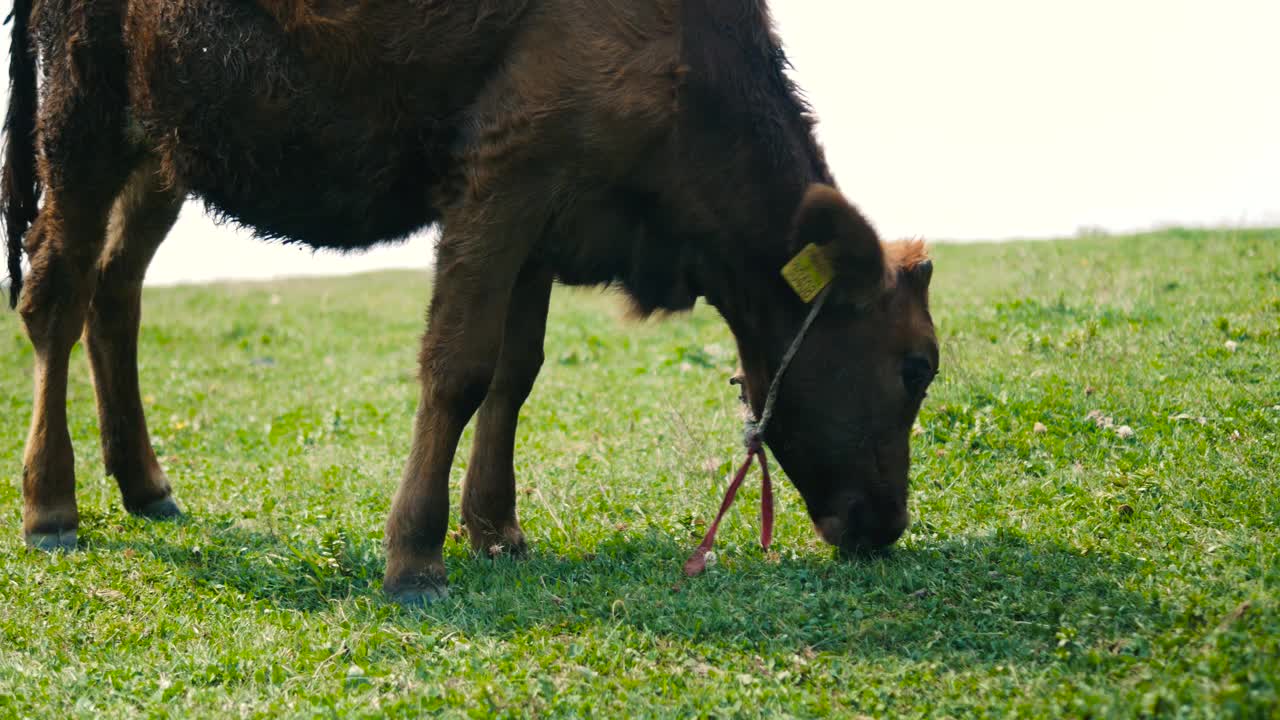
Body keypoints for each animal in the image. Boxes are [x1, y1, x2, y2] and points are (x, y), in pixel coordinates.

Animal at [2, 0, 942, 599]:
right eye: (916, 368)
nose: (888, 523)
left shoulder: (545, 216)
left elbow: (514, 374)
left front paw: (495, 529)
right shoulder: (503, 177)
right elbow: (457, 368)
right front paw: (416, 554)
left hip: (166, 143)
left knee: (115, 288)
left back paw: (144, 482)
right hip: (82, 113)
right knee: (56, 289)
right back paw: (52, 503)